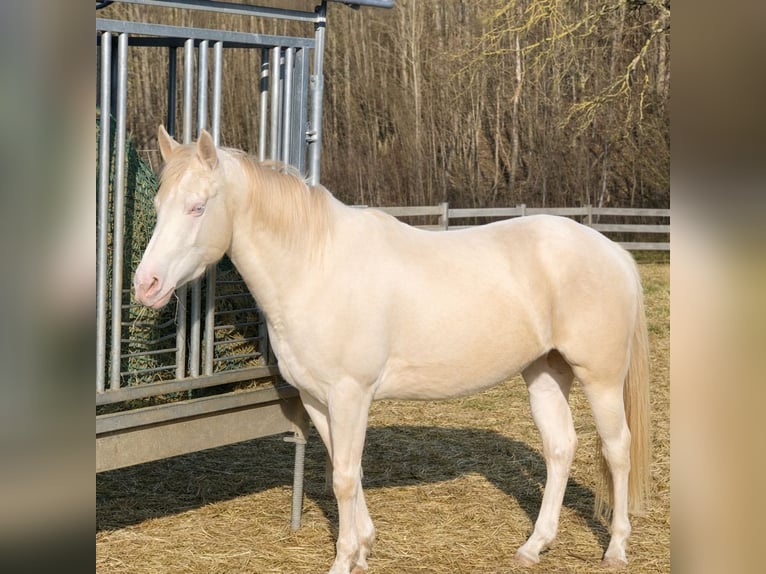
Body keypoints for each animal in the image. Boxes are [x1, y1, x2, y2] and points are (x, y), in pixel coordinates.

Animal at [134, 126, 650, 573]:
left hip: (600, 378)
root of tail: (612, 251)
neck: (316, 266)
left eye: (198, 207)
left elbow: (344, 477)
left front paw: (343, 559)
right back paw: (533, 546)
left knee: (617, 450)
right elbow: (347, 469)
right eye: (159, 204)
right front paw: (363, 548)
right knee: (560, 448)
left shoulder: (350, 395)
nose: (146, 284)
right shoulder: (319, 400)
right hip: (544, 372)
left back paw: (616, 549)